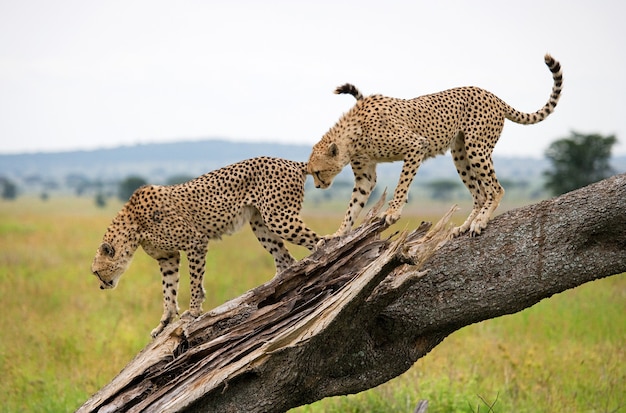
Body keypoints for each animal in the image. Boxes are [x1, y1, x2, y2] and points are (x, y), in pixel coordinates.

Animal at [90, 156, 320, 336]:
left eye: (96, 272)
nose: (101, 286)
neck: (133, 226)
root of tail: (290, 162)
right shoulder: (168, 257)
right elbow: (168, 290)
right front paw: (164, 322)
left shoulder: (195, 241)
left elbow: (194, 281)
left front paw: (193, 311)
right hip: (261, 224)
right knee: (286, 259)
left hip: (279, 218)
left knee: (319, 240)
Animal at [308, 53, 560, 237]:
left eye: (318, 172)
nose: (318, 187)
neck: (353, 134)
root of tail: (492, 95)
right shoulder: (365, 176)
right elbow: (353, 204)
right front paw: (338, 233)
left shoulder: (416, 145)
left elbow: (401, 185)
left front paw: (392, 212)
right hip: (460, 154)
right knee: (479, 194)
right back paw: (465, 225)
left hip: (476, 148)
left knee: (496, 189)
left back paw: (480, 222)